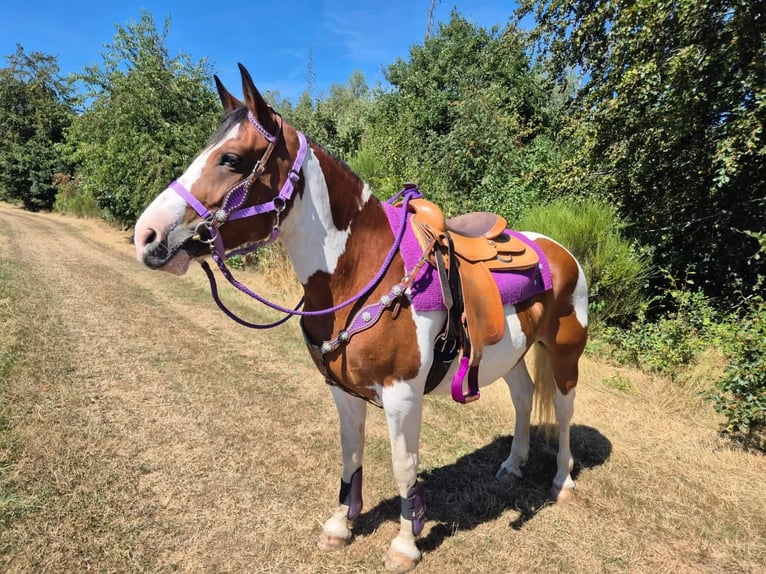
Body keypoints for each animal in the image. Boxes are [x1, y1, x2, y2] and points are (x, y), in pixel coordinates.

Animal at [133, 64, 588, 572]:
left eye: (231, 158)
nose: (146, 235)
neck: (361, 272)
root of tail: (560, 252)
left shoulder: (402, 395)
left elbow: (404, 467)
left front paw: (406, 543)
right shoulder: (342, 390)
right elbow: (351, 455)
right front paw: (340, 525)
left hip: (565, 354)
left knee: (564, 410)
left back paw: (563, 481)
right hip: (510, 356)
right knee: (524, 398)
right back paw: (512, 466)